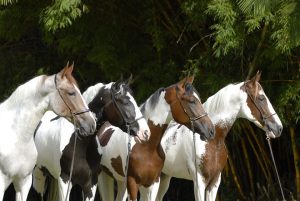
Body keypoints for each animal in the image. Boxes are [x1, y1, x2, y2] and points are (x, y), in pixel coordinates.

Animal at [155, 71, 284, 200]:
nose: (279, 128)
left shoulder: (214, 182)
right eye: (262, 98)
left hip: (165, 177)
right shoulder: (199, 183)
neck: (212, 141)